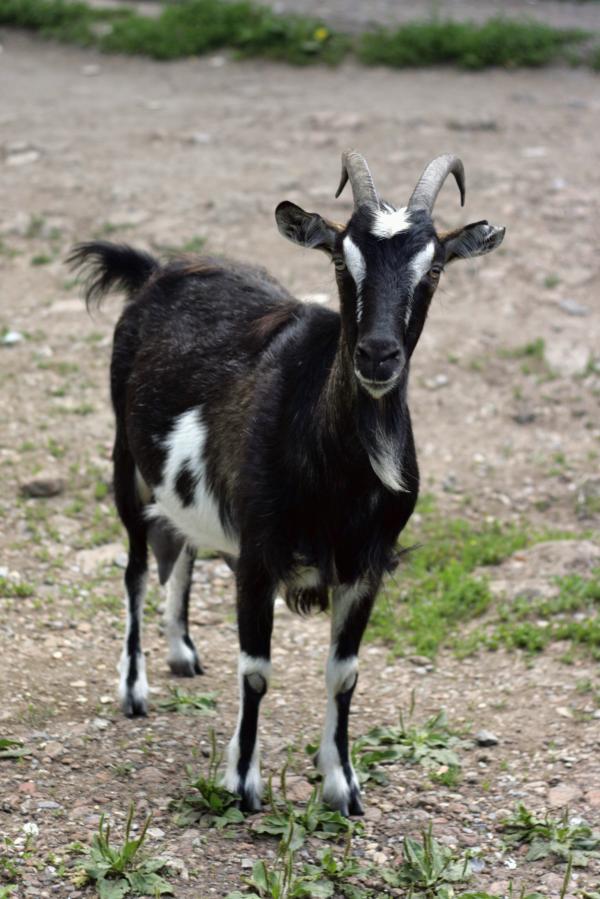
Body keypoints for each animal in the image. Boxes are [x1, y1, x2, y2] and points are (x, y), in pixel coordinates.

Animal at [69, 151, 505, 816]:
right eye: (340, 261)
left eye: (433, 270)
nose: (377, 356)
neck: (338, 475)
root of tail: (157, 270)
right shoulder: (258, 554)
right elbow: (255, 669)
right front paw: (242, 782)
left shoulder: (366, 565)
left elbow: (344, 673)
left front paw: (342, 785)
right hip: (129, 464)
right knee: (138, 569)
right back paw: (135, 688)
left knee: (183, 549)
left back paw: (181, 652)